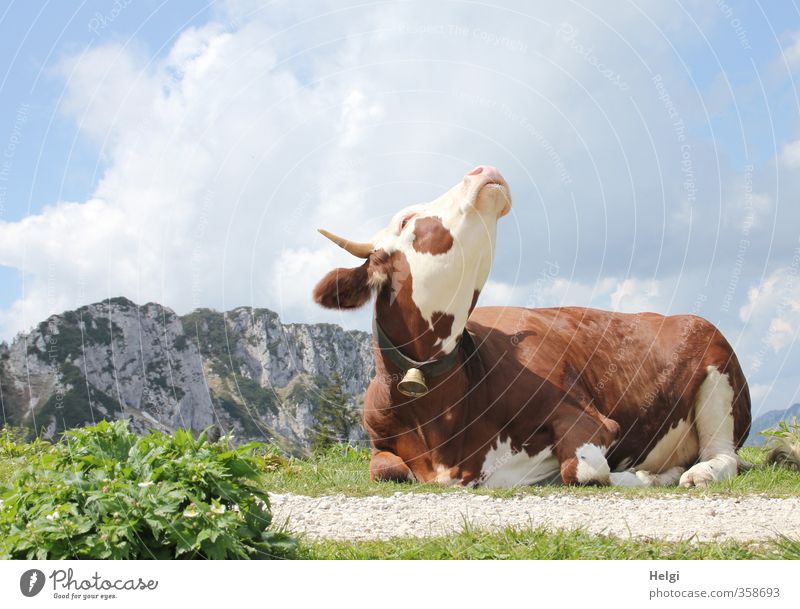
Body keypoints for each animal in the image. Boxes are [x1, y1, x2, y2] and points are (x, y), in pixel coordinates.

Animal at [310, 164, 752, 486]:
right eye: (406, 220)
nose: (481, 167)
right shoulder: (380, 441)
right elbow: (385, 467)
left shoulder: (588, 417)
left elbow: (585, 469)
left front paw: (644, 475)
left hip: (719, 376)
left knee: (723, 455)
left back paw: (691, 473)